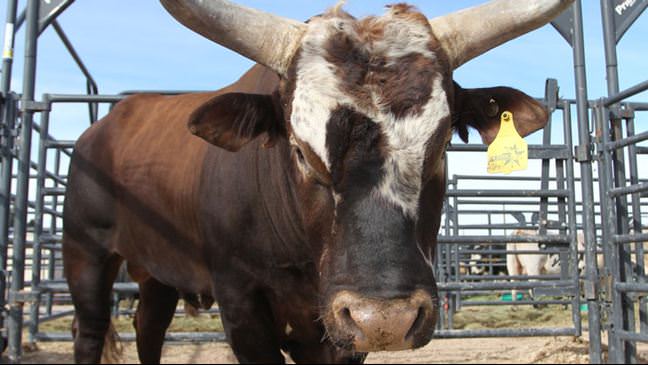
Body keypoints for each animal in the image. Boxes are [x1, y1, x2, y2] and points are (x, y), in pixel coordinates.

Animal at [63, 0, 576, 362]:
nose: (385, 320)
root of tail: (100, 127)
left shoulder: (337, 335)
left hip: (155, 276)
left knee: (148, 331)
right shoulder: (242, 306)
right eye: (299, 151)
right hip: (85, 255)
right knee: (90, 332)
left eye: (442, 143)